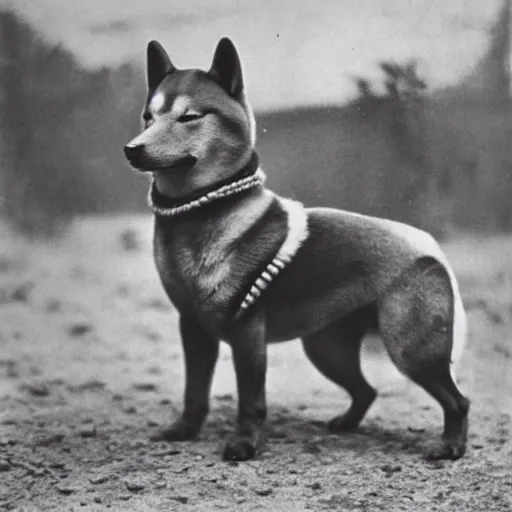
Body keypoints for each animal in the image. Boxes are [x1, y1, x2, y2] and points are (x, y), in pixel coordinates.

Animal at [123, 36, 468, 460]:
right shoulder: (194, 330)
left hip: (411, 350)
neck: (200, 211)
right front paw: (185, 431)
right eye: (148, 117)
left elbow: (250, 399)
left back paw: (450, 447)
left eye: (189, 117)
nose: (132, 149)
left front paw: (245, 444)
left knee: (457, 400)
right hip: (327, 348)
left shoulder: (247, 334)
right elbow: (195, 391)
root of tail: (428, 248)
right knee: (366, 390)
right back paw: (346, 425)